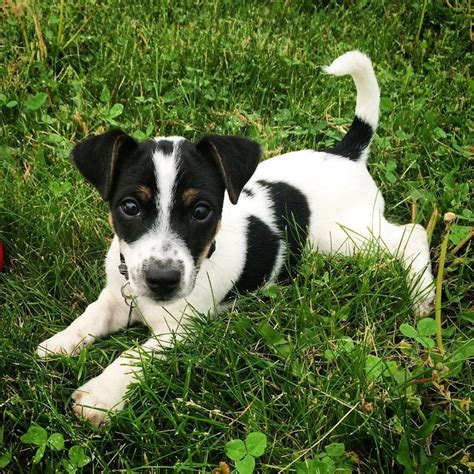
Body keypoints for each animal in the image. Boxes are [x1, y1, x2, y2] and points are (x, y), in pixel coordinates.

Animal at [39, 51, 436, 426]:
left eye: (201, 211)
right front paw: (58, 344)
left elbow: (133, 355)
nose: (162, 280)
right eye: (130, 207)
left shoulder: (180, 331)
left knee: (412, 235)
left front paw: (99, 396)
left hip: (348, 238)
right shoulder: (117, 296)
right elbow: (90, 316)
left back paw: (422, 296)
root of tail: (347, 156)